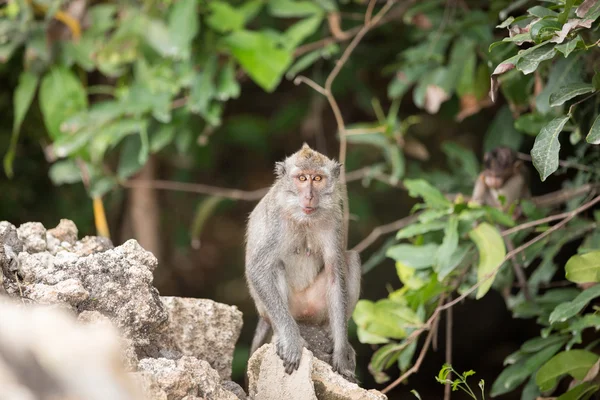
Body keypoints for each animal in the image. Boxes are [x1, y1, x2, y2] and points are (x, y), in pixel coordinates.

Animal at [245, 144, 360, 382]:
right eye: (301, 178)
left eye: (317, 178)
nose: (309, 196)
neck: (303, 218)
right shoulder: (276, 220)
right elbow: (259, 269)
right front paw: (290, 341)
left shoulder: (334, 219)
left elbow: (335, 274)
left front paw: (341, 352)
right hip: (277, 310)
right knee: (274, 267)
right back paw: (283, 335)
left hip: (315, 308)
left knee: (351, 258)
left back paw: (331, 334)